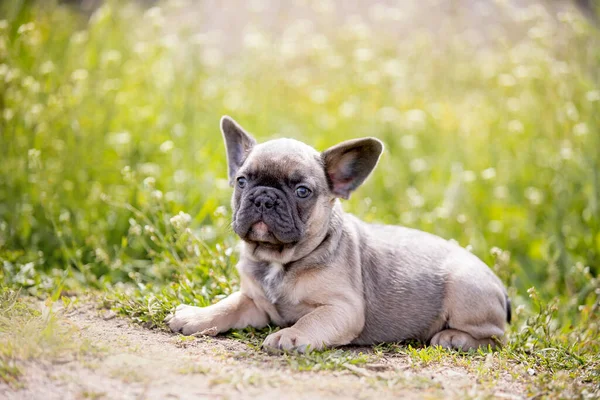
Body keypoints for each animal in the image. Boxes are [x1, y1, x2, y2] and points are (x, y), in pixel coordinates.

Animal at [165, 114, 510, 352]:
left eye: (302, 191)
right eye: (241, 181)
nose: (264, 198)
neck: (279, 261)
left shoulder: (342, 308)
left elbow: (311, 319)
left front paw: (290, 335)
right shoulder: (254, 302)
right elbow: (229, 304)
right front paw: (196, 315)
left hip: (465, 290)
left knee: (495, 339)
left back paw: (453, 337)